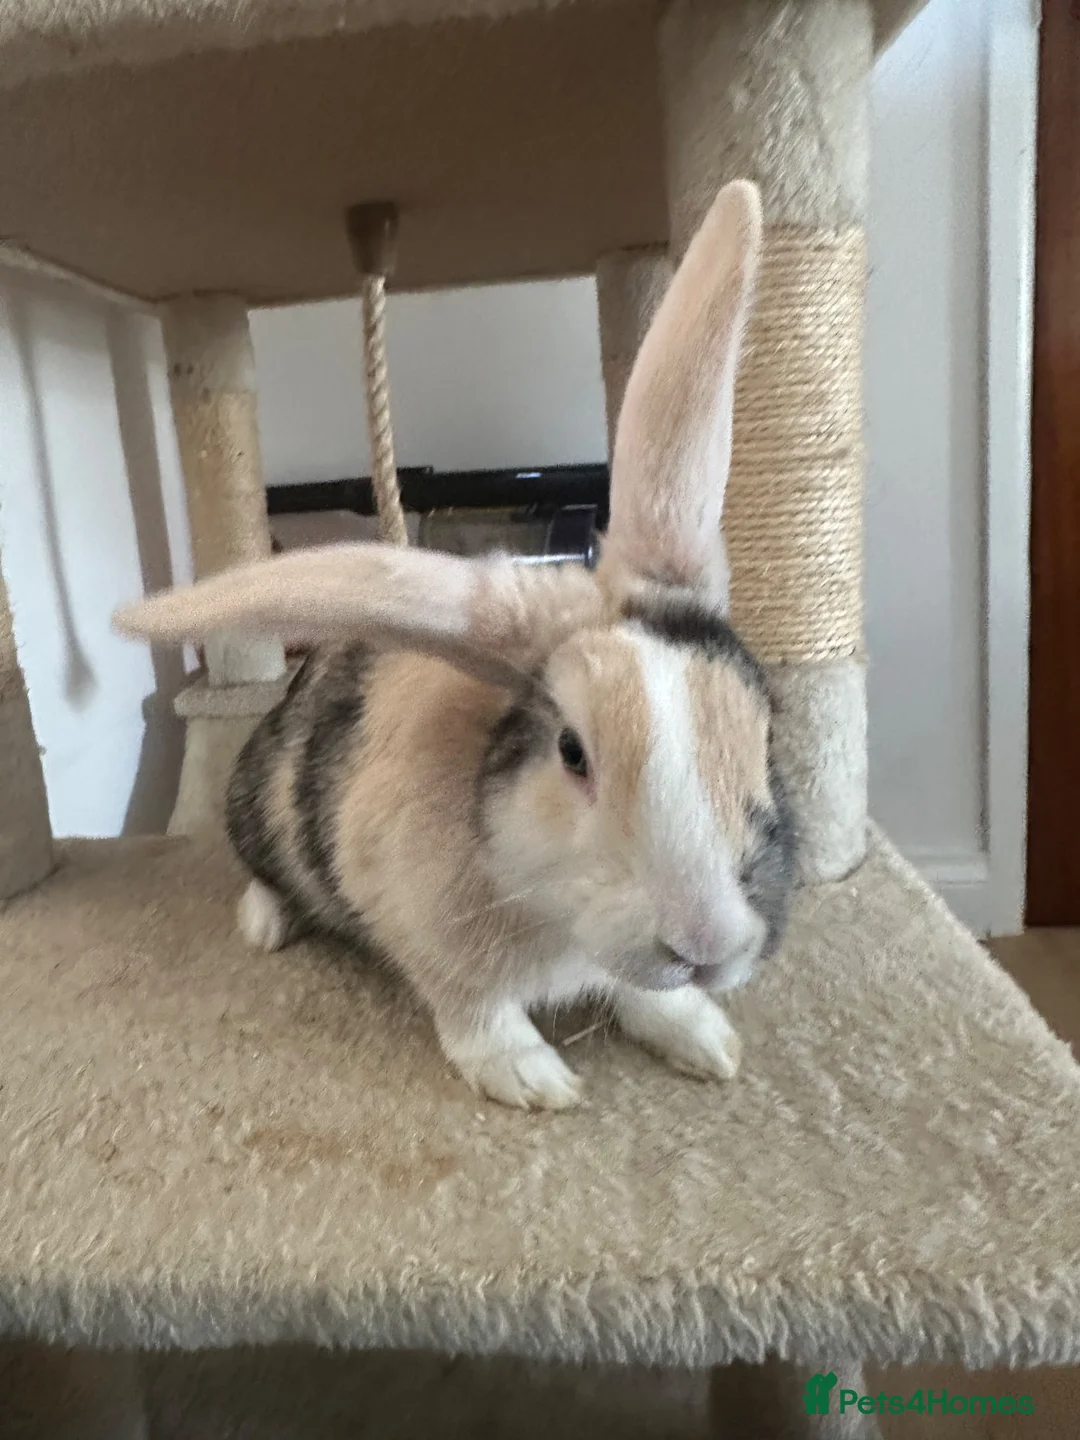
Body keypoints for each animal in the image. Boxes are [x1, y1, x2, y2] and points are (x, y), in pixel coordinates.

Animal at [115, 179, 797, 1112]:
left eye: (767, 727)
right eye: (572, 752)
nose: (708, 943)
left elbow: (647, 999)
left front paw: (706, 1041)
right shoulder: (427, 935)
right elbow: (478, 1014)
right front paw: (536, 1082)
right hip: (254, 811)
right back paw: (266, 925)